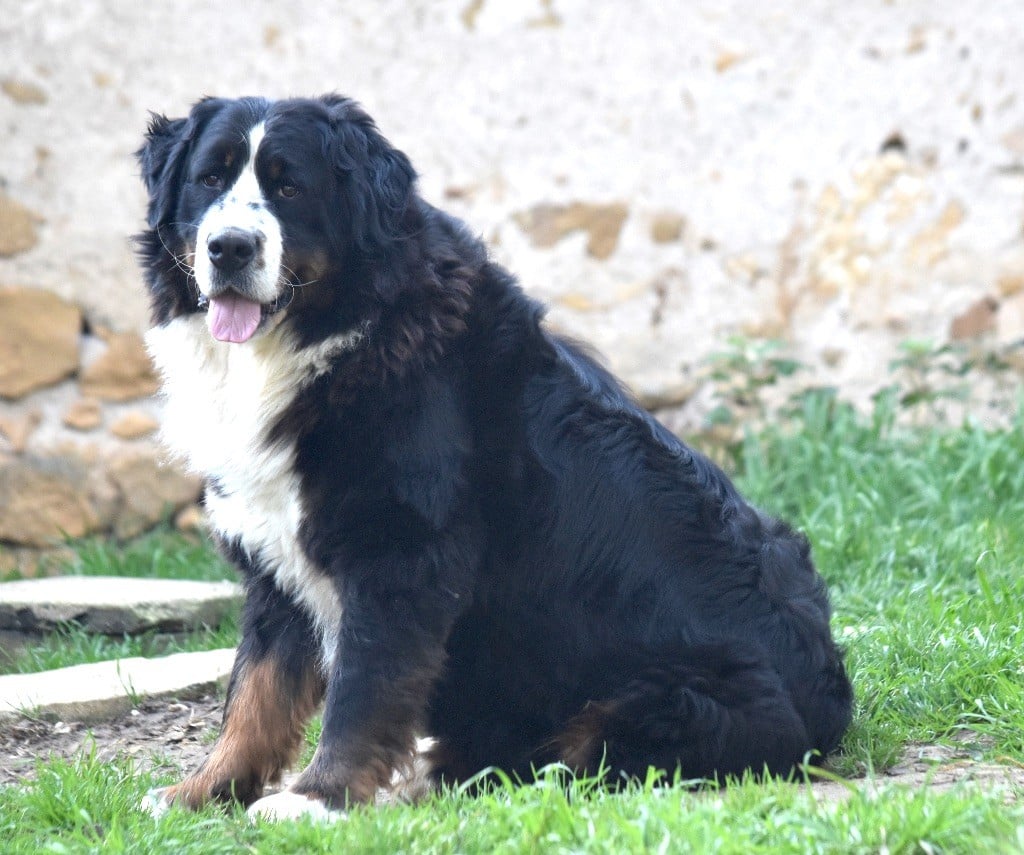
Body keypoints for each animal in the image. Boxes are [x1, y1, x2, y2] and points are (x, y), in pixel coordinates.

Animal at [136, 95, 856, 823]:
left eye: (290, 187)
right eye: (209, 178)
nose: (229, 246)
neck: (323, 340)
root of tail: (829, 702)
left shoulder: (399, 552)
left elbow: (362, 688)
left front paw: (318, 797)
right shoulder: (276, 555)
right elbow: (254, 691)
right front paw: (202, 790)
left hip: (670, 694)